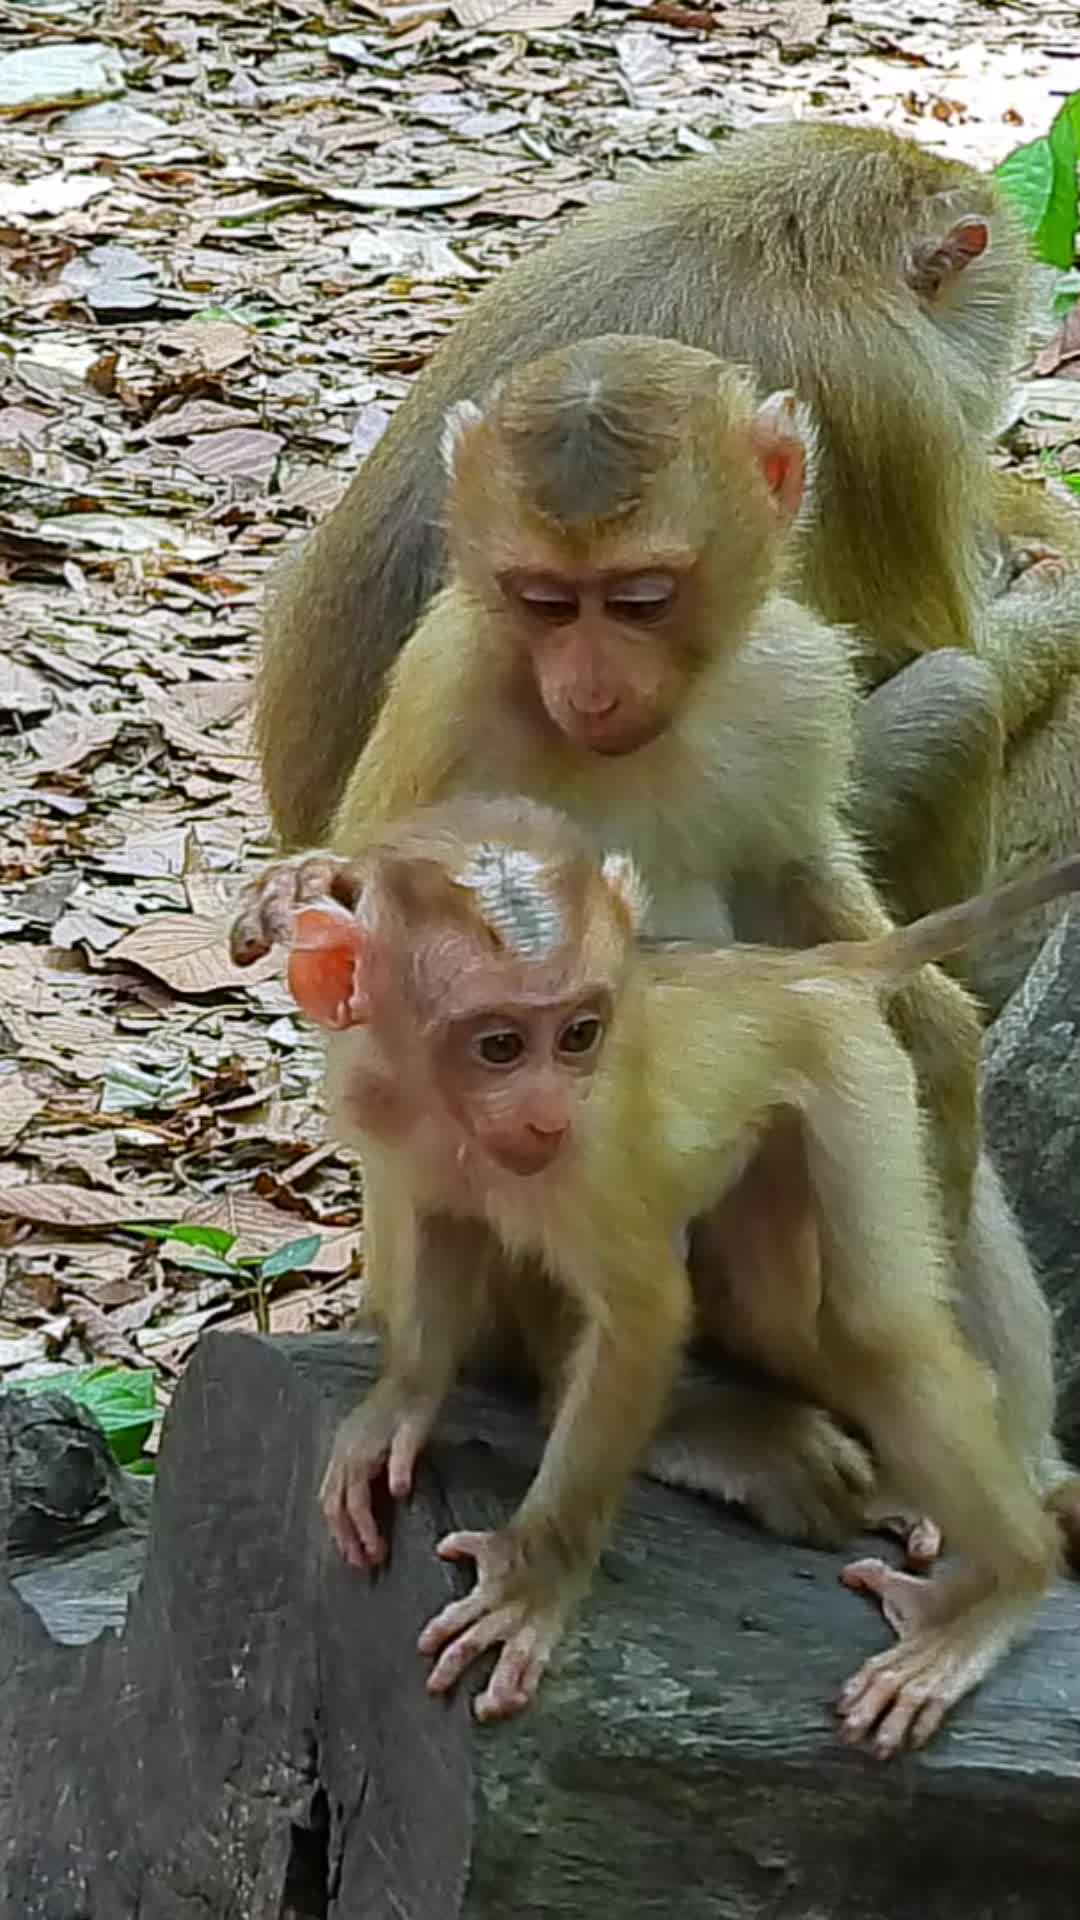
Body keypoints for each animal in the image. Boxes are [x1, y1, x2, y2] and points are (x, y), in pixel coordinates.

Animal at [229, 796, 1080, 1753]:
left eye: (579, 1035)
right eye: (498, 1046)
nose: (548, 1112)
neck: (447, 1114)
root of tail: (803, 971)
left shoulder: (589, 1157)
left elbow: (643, 1314)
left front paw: (531, 1581)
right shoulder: (387, 1110)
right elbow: (446, 1229)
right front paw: (396, 1410)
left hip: (854, 1076)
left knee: (879, 1334)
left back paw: (1004, 1586)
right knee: (790, 1316)